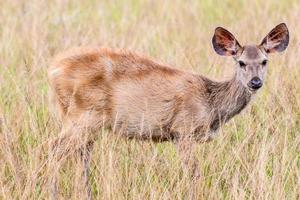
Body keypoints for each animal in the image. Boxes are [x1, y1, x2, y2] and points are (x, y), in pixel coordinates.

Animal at [47, 23, 288, 198]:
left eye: (264, 61)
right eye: (241, 62)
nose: (255, 82)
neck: (210, 103)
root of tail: (54, 69)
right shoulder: (183, 130)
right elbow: (194, 173)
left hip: (82, 120)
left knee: (81, 157)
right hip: (83, 115)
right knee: (54, 148)